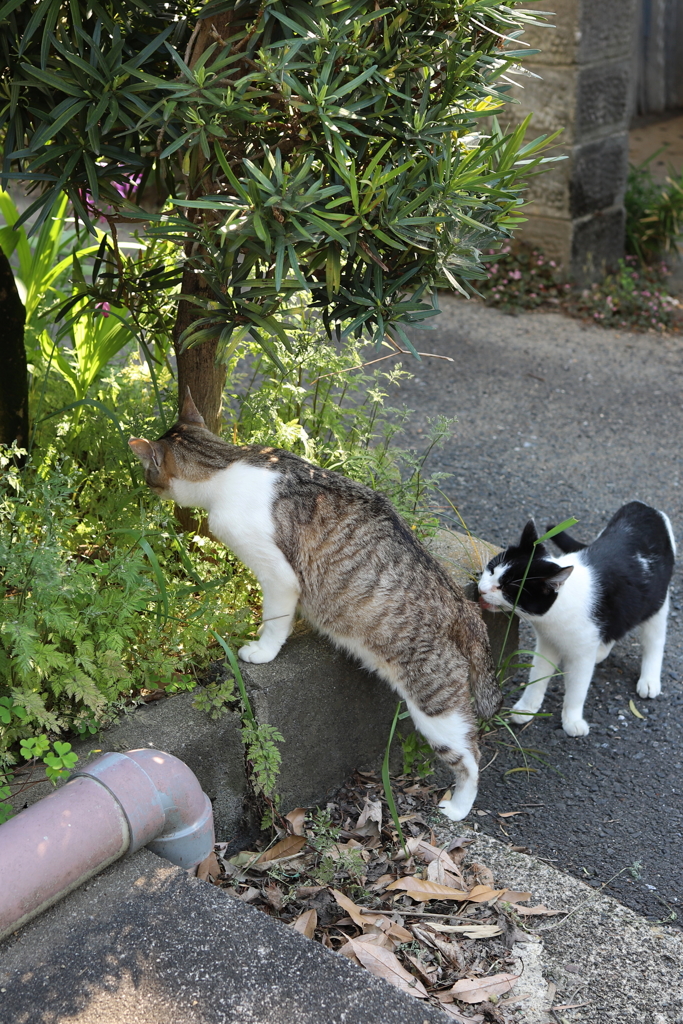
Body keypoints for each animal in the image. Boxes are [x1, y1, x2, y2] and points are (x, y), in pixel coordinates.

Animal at [129, 387, 501, 819]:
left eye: (149, 471)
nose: (145, 487)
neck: (225, 465)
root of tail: (462, 605)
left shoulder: (279, 576)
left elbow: (275, 620)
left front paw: (261, 650)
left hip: (435, 706)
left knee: (471, 756)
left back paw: (458, 806)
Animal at [479, 499, 675, 733]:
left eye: (508, 588)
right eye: (492, 569)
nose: (481, 589)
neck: (552, 617)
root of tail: (644, 506)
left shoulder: (581, 656)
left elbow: (577, 690)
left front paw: (572, 721)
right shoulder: (547, 644)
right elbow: (538, 676)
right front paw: (526, 708)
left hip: (656, 603)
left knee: (654, 640)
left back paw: (649, 679)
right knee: (617, 625)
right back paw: (602, 651)